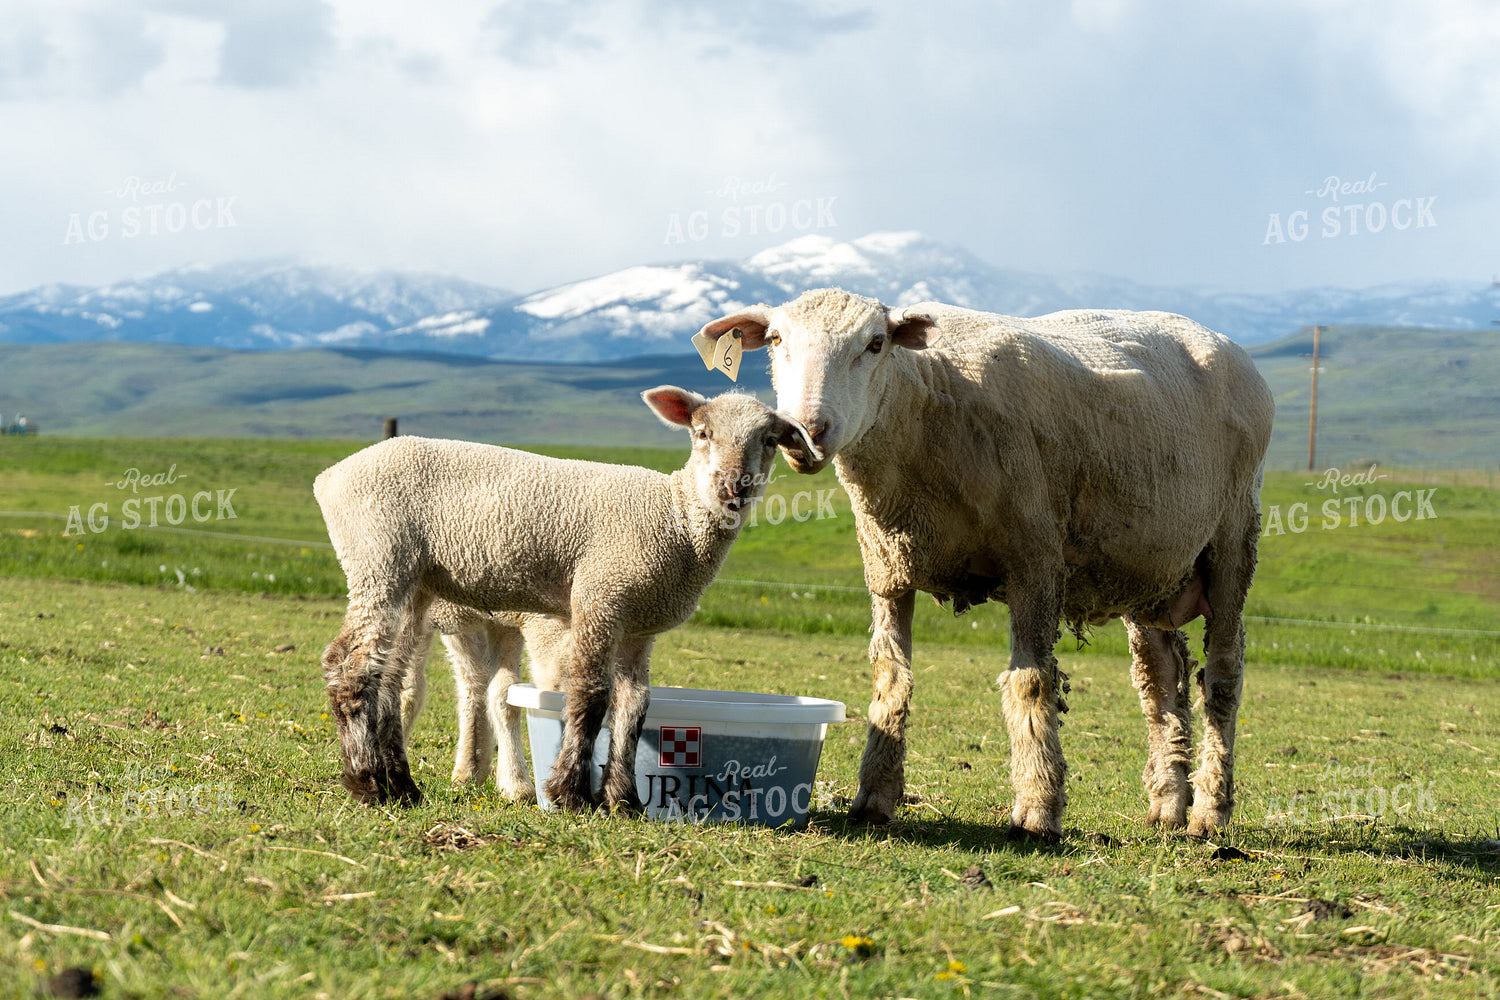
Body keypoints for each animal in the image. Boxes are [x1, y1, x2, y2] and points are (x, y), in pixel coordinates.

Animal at [315, 387, 817, 812]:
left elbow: (634, 705)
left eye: (769, 440)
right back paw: (367, 782)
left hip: (416, 586)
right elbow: (591, 695)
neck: (675, 516)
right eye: (702, 432)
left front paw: (623, 800)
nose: (735, 487)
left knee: (391, 681)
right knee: (351, 664)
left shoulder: (639, 623)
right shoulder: (600, 595)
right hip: (378, 557)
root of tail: (330, 476)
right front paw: (571, 793)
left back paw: (403, 786)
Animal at [694, 290, 1274, 840]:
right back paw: (1167, 805)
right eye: (775, 340)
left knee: (1223, 675)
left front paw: (1038, 810)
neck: (926, 402)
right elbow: (890, 676)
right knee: (1159, 678)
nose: (806, 430)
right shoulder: (887, 568)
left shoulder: (1035, 559)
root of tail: (1221, 341)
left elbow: (1031, 682)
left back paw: (1210, 811)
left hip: (1232, 538)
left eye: (876, 343)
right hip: (1146, 567)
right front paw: (875, 799)